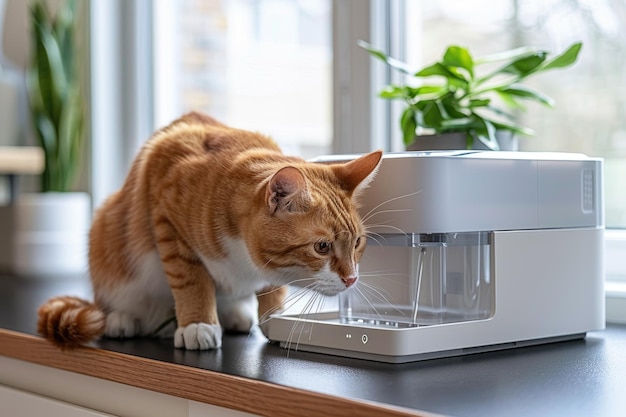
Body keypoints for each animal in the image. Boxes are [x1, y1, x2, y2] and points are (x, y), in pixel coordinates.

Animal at [39, 112, 382, 350]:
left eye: (357, 243)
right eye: (322, 247)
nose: (352, 279)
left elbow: (274, 287)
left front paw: (272, 316)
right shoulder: (166, 214)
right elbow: (192, 280)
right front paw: (198, 324)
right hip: (107, 240)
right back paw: (121, 318)